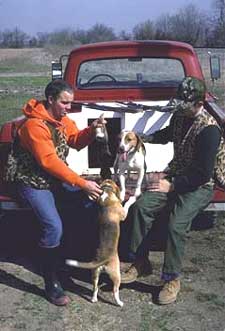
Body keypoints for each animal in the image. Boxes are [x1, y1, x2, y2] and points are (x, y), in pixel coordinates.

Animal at [66, 180, 126, 308]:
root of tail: (101, 261)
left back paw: (93, 299)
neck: (106, 192)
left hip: (95, 273)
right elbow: (126, 202)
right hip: (116, 274)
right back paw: (119, 303)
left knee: (95, 288)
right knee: (115, 291)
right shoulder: (123, 214)